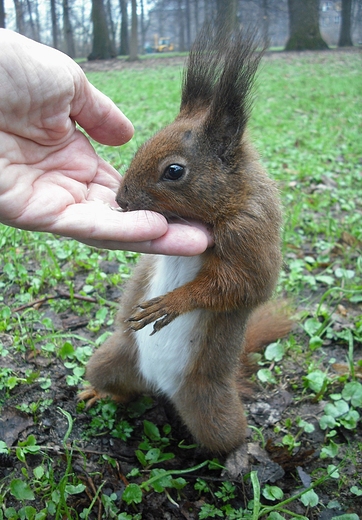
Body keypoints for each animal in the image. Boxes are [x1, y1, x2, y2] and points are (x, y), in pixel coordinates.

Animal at [81, 26, 292, 452]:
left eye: (174, 171)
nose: (121, 200)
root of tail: (161, 387)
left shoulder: (251, 232)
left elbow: (243, 284)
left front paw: (174, 302)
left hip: (210, 408)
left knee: (228, 437)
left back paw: (239, 456)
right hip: (110, 358)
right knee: (122, 387)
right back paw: (103, 392)